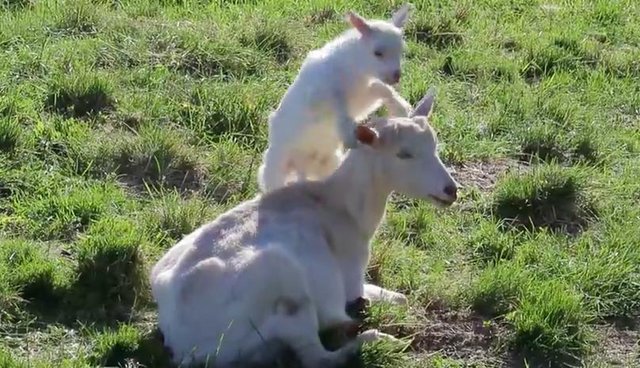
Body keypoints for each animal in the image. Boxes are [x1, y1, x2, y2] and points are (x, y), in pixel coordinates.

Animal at [151, 89, 460, 368]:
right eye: (403, 154)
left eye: (435, 145)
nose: (451, 190)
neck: (339, 206)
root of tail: (183, 344)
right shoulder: (352, 282)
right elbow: (393, 300)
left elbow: (402, 299)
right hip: (287, 291)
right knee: (317, 356)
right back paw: (373, 337)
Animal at [258, 4, 416, 194]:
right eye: (377, 53)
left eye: (401, 51)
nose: (396, 76)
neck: (353, 71)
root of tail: (302, 167)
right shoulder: (319, 95)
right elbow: (338, 105)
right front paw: (348, 135)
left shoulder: (362, 97)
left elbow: (381, 89)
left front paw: (401, 108)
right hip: (276, 166)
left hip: (328, 163)